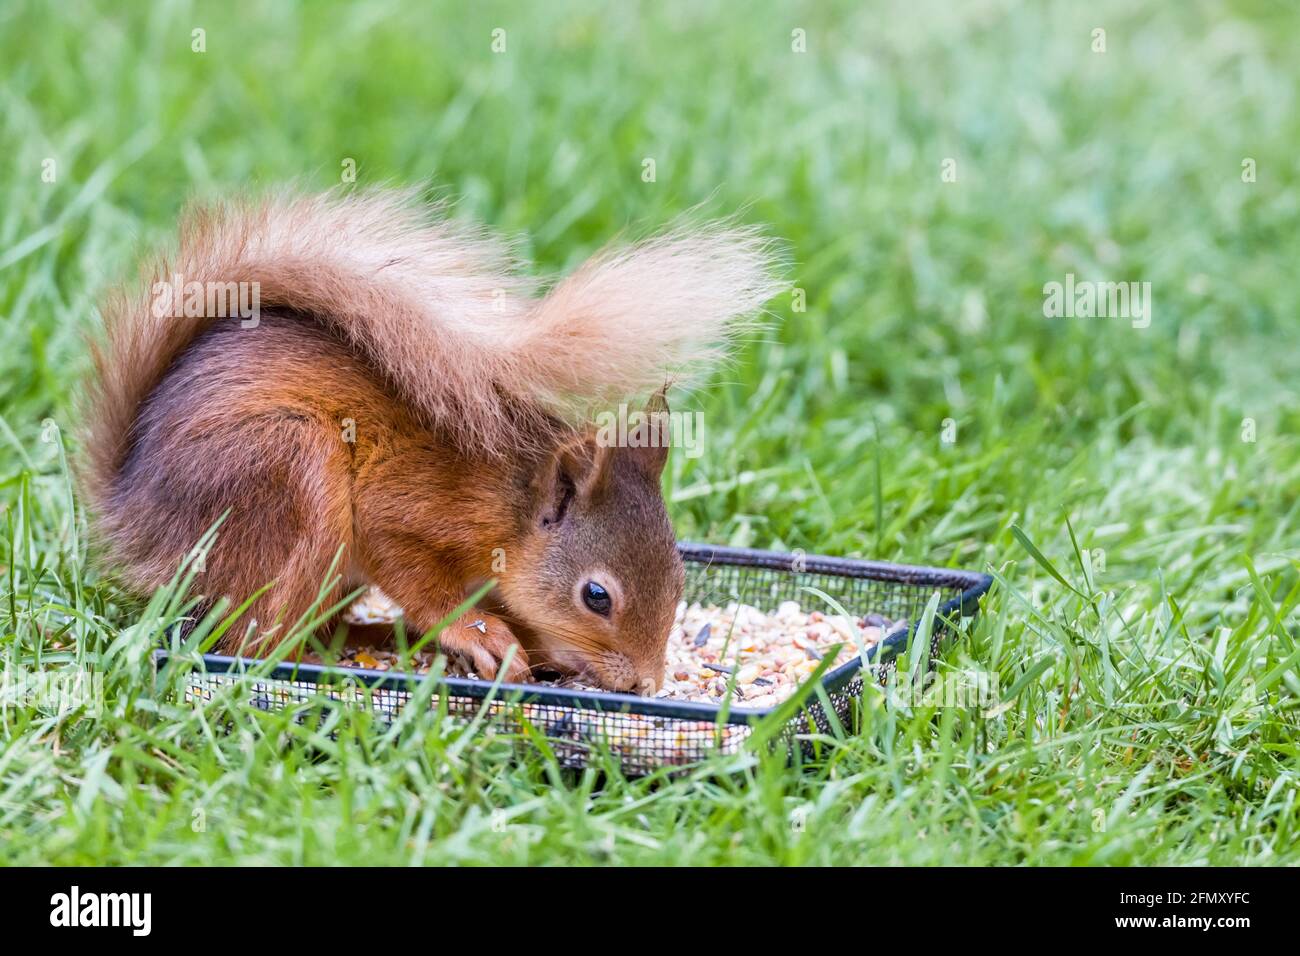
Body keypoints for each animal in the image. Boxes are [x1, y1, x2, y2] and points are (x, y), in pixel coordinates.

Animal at [81, 188, 774, 697]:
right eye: (596, 596)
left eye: (682, 577)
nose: (645, 687)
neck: (508, 506)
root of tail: (132, 513)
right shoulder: (407, 507)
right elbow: (410, 568)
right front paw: (478, 633)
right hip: (288, 473)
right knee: (253, 640)